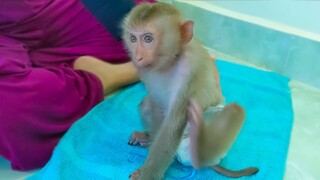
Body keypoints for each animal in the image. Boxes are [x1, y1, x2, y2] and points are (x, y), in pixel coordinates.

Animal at [121, 1, 258, 180]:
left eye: (148, 38)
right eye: (133, 38)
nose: (138, 57)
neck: (171, 61)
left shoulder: (191, 68)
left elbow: (173, 122)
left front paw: (147, 174)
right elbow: (157, 106)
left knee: (233, 111)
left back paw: (200, 149)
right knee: (146, 104)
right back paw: (148, 138)